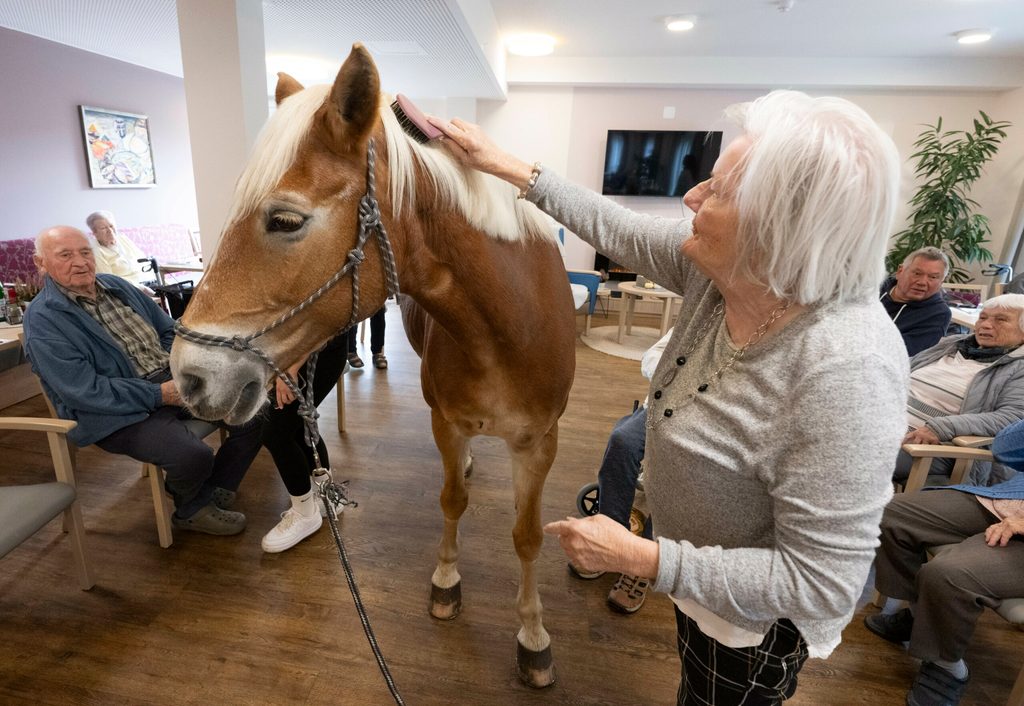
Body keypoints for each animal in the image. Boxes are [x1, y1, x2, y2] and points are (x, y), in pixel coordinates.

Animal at [169, 44, 576, 688]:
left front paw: (533, 635)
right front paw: (446, 582)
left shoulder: (539, 443)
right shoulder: (445, 423)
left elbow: (529, 537)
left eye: (286, 220)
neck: (508, 326)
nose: (188, 376)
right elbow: (451, 502)